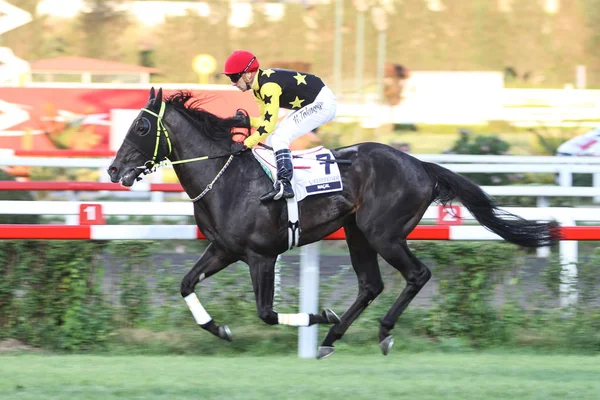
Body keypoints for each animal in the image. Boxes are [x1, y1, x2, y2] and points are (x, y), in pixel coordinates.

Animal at [106, 87, 556, 360]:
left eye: (141, 126)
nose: (113, 170)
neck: (227, 178)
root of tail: (420, 165)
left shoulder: (260, 255)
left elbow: (267, 312)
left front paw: (321, 316)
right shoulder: (224, 249)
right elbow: (185, 284)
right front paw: (219, 329)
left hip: (383, 233)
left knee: (417, 274)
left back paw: (379, 331)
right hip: (357, 233)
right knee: (370, 284)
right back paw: (331, 339)